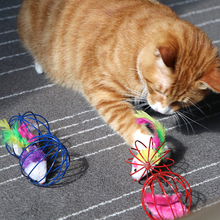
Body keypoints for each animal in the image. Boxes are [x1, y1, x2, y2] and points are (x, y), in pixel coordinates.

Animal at [18, 0, 220, 148]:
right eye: (158, 90)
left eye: (182, 102)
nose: (161, 111)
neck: (138, 47)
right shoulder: (101, 89)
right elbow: (125, 120)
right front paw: (147, 146)